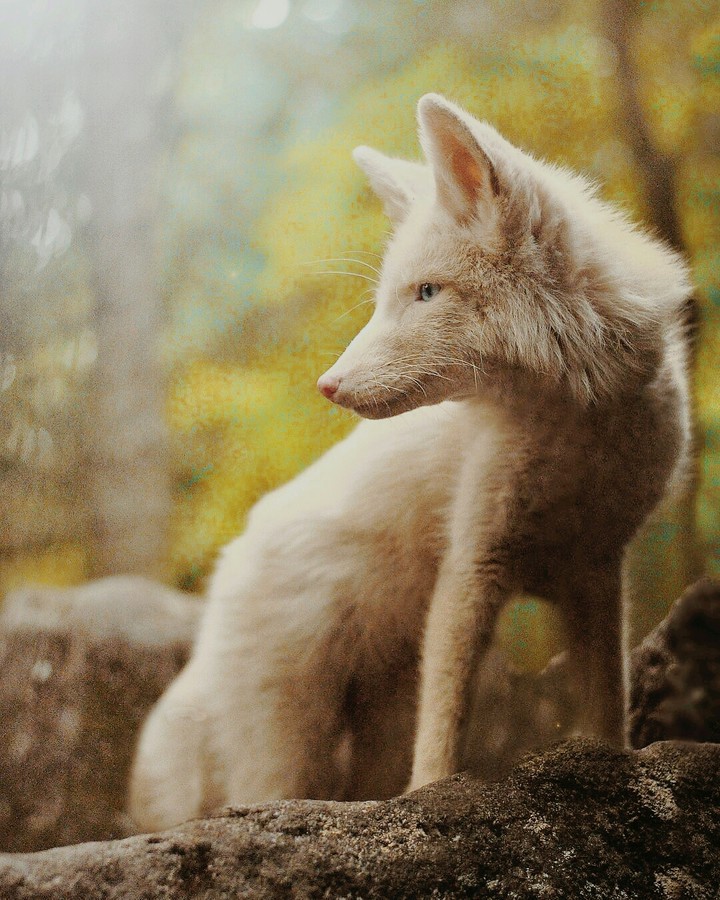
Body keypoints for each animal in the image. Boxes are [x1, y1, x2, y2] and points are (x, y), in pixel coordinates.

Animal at [129, 94, 691, 831]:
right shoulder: (474, 564)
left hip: (378, 715)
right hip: (290, 747)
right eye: (385, 299)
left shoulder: (595, 568)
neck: (578, 434)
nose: (327, 386)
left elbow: (606, 714)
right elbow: (442, 741)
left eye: (425, 293)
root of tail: (225, 574)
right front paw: (433, 805)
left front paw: (619, 775)